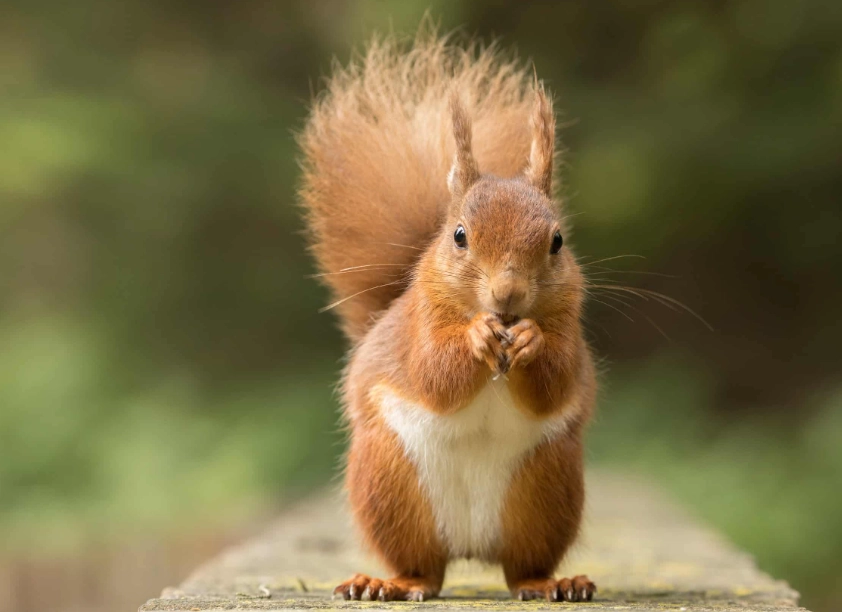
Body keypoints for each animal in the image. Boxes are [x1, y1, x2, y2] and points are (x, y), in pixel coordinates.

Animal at [298, 29, 597, 603]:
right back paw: (386, 582)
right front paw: (476, 336)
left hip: (548, 489)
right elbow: (433, 374)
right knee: (424, 569)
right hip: (390, 486)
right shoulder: (417, 328)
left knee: (520, 567)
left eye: (557, 241)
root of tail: (470, 547)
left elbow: (555, 380)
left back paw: (554, 581)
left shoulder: (570, 329)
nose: (507, 294)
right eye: (459, 235)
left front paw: (531, 341)